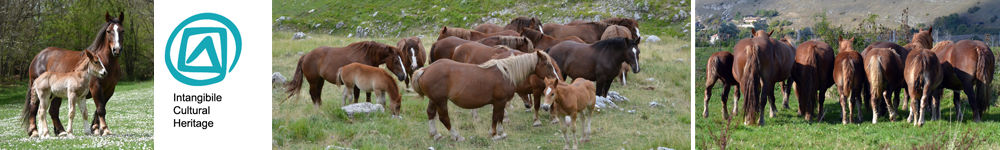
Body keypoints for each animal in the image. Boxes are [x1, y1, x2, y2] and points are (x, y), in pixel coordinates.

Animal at [408, 51, 564, 141]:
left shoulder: (501, 102)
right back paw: (457, 136)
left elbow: (500, 117)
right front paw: (494, 135)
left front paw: (501, 133)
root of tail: (425, 69)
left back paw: (435, 134)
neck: (506, 73)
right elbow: (496, 117)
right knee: (444, 118)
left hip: (434, 100)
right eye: (547, 65)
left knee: (430, 114)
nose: (556, 79)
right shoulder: (499, 101)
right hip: (441, 101)